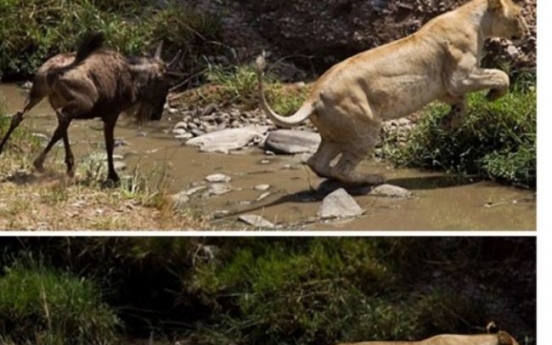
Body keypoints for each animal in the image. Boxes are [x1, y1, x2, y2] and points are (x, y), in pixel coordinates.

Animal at [256, 0, 528, 185]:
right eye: (518, 14)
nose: (525, 32)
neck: (474, 19)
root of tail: (313, 95)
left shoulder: (445, 86)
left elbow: (462, 103)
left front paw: (448, 123)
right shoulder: (460, 76)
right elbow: (499, 75)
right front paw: (493, 95)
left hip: (335, 133)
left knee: (318, 162)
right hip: (363, 127)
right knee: (342, 167)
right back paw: (372, 179)